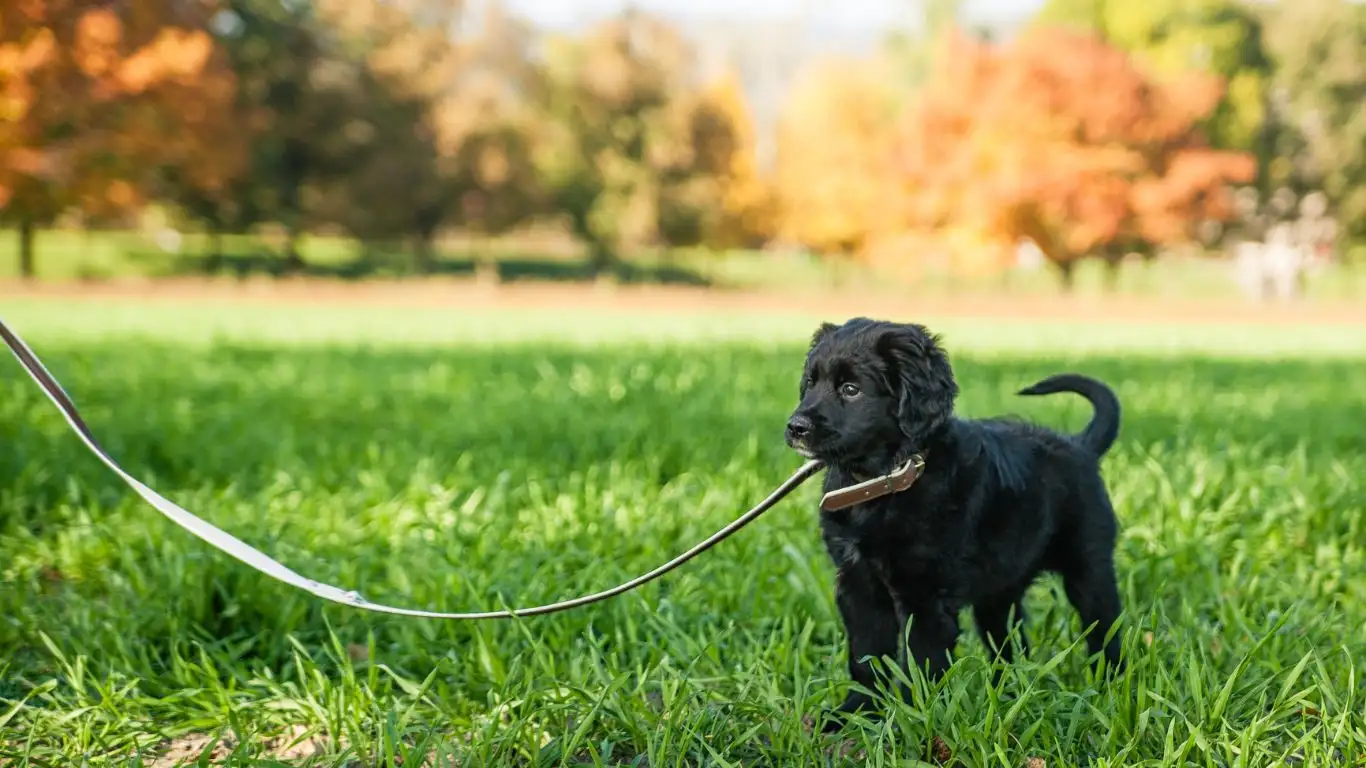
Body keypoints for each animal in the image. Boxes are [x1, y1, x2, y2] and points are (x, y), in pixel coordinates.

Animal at [786, 317, 1125, 727]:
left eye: (850, 390)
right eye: (810, 382)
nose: (795, 427)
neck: (883, 480)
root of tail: (1081, 446)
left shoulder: (926, 597)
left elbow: (920, 664)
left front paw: (911, 720)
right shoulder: (858, 584)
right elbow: (867, 656)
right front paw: (856, 714)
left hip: (1089, 568)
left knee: (1105, 629)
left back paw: (1110, 686)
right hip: (1000, 590)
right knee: (1009, 644)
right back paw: (1008, 694)